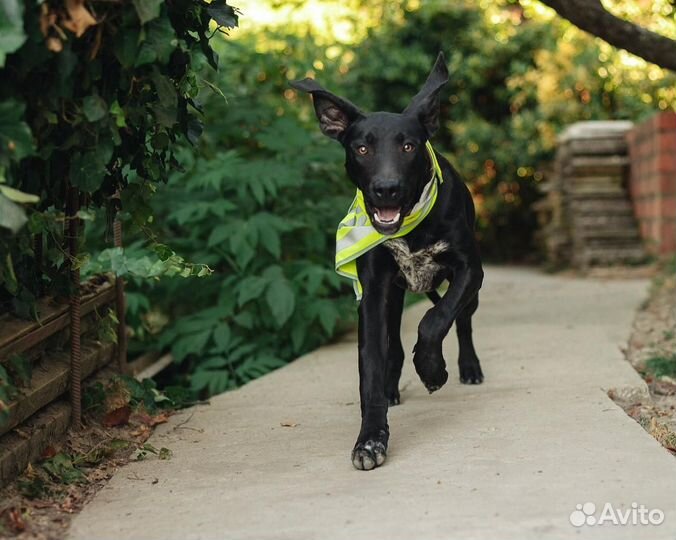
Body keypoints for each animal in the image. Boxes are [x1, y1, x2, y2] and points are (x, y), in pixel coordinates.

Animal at [294, 52, 484, 470]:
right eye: (362, 149)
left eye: (409, 147)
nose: (386, 189)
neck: (411, 226)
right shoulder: (373, 292)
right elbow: (371, 365)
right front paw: (370, 439)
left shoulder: (469, 270)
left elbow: (435, 320)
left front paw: (432, 369)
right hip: (395, 296)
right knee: (394, 343)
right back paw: (393, 386)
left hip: (470, 293)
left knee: (462, 322)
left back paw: (469, 367)